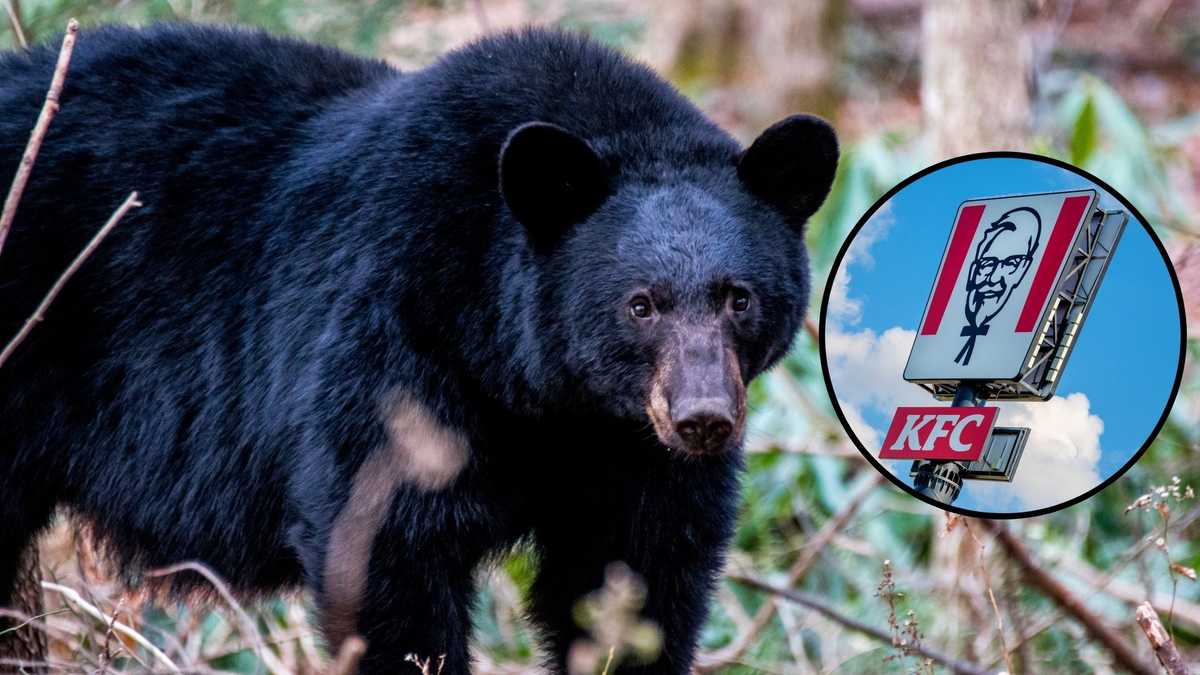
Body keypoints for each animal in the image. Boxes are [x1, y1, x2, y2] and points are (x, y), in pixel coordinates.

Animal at [0, 23, 838, 674]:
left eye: (739, 297)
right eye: (640, 304)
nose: (703, 418)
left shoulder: (630, 451)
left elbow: (639, 572)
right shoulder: (391, 345)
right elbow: (384, 553)